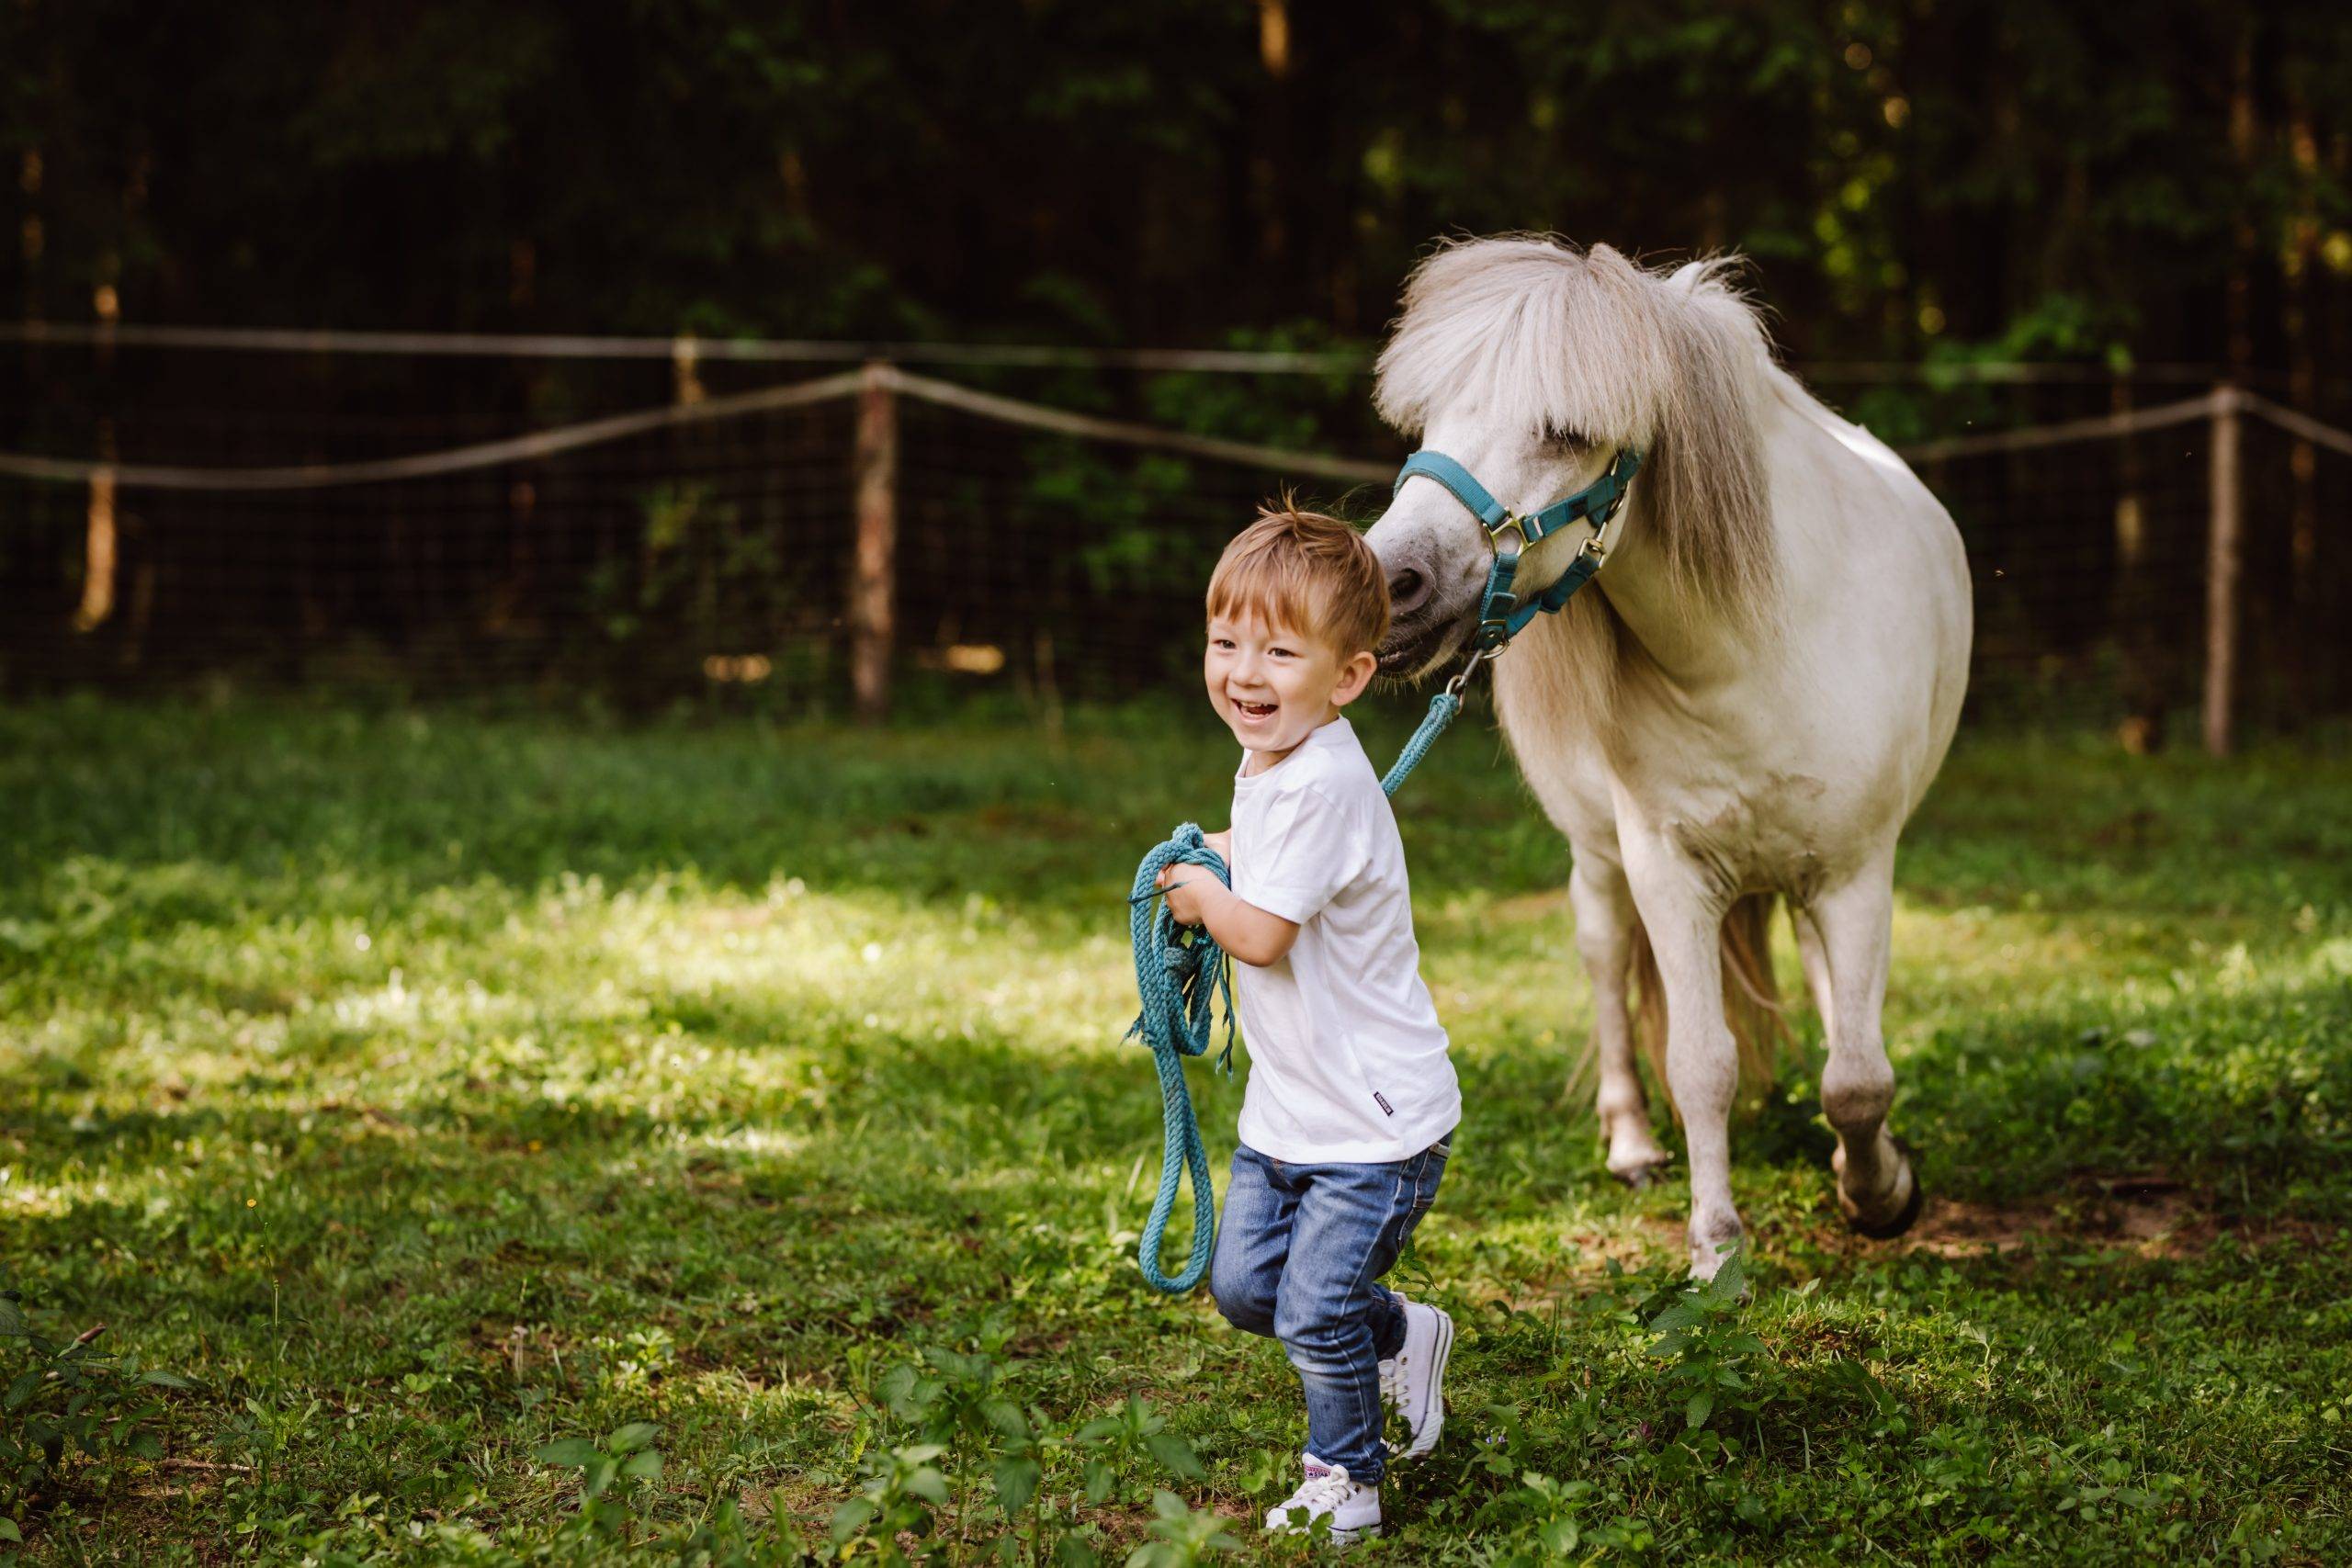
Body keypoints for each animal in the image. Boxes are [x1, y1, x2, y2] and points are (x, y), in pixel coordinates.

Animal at [1374, 240, 1975, 1279]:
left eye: (1567, 431)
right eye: (1433, 415)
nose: (1387, 581)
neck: (1751, 653)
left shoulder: (1857, 869)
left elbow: (1858, 1075)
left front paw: (1880, 1187)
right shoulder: (1669, 870)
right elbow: (1701, 1064)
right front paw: (1716, 1247)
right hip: (1600, 861)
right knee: (1607, 965)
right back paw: (1630, 1141)